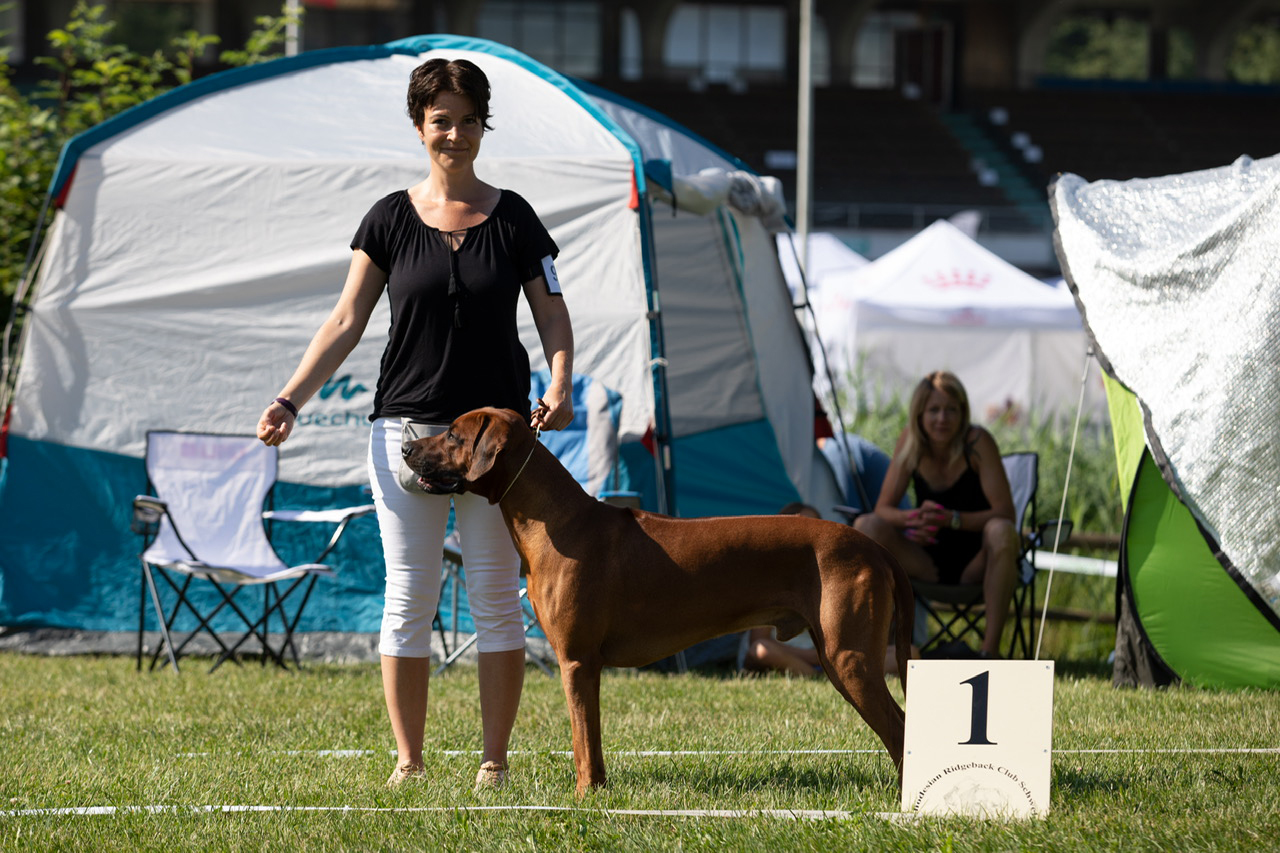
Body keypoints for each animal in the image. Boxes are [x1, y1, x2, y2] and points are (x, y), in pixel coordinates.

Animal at [404, 404, 916, 788]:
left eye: (453, 435)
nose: (406, 447)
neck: (556, 520)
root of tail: (874, 546)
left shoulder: (576, 661)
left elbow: (582, 742)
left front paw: (585, 796)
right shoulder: (585, 667)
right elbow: (591, 741)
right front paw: (599, 791)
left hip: (849, 658)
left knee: (899, 728)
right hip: (839, 658)